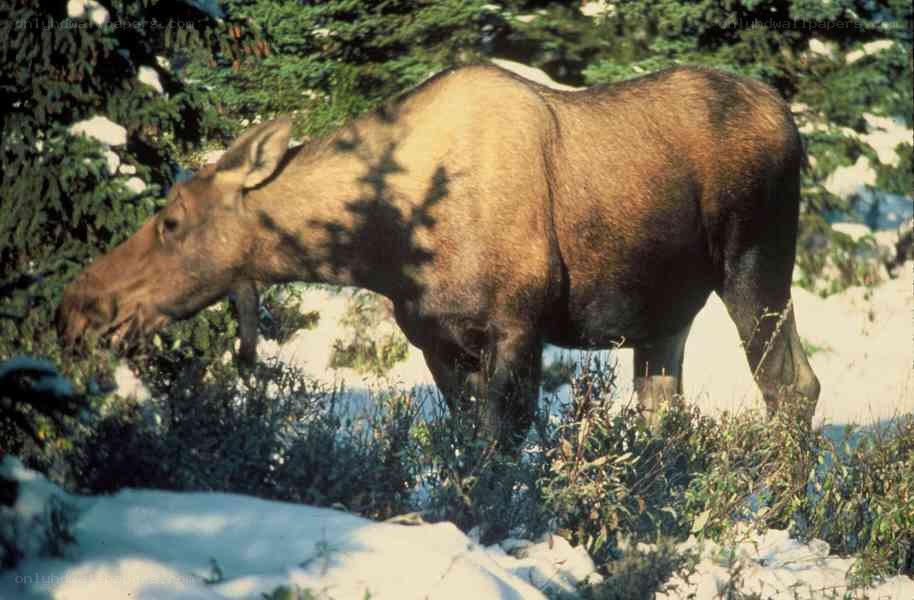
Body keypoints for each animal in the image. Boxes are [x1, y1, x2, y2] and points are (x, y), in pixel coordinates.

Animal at [58, 64, 821, 449]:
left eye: (171, 220)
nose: (79, 306)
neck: (386, 244)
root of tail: (792, 123)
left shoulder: (516, 328)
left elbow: (500, 452)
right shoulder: (434, 340)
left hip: (756, 263)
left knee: (793, 388)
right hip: (665, 314)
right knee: (665, 410)